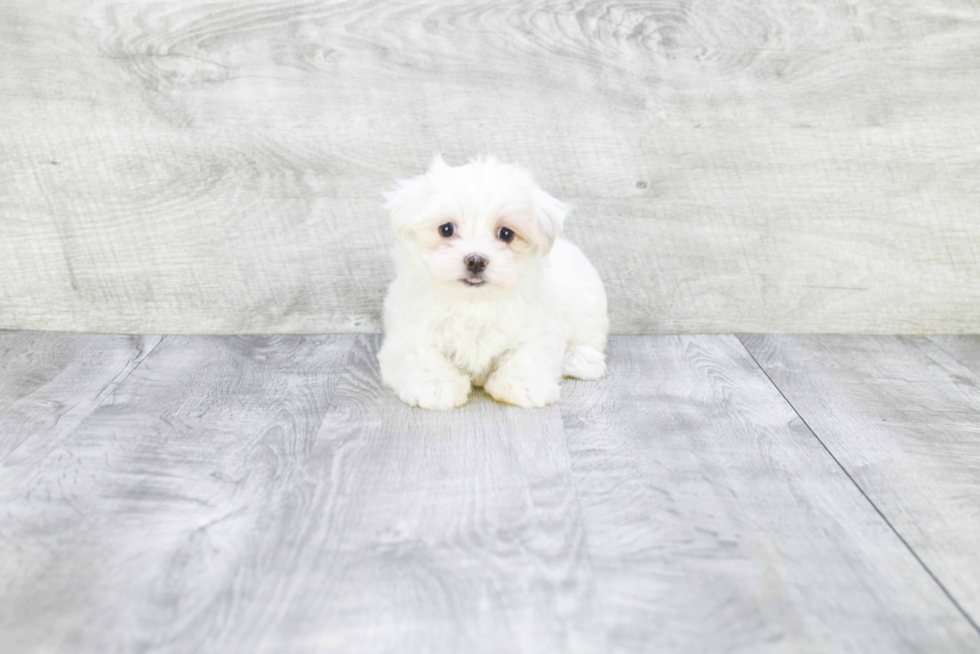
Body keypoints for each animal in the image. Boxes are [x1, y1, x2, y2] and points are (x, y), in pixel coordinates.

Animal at [378, 155, 600, 410]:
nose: (475, 260)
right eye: (446, 229)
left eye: (506, 234)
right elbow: (422, 355)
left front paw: (523, 385)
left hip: (587, 306)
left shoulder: (539, 326)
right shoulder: (407, 333)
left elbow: (528, 353)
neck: (474, 302)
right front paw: (436, 385)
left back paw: (581, 359)